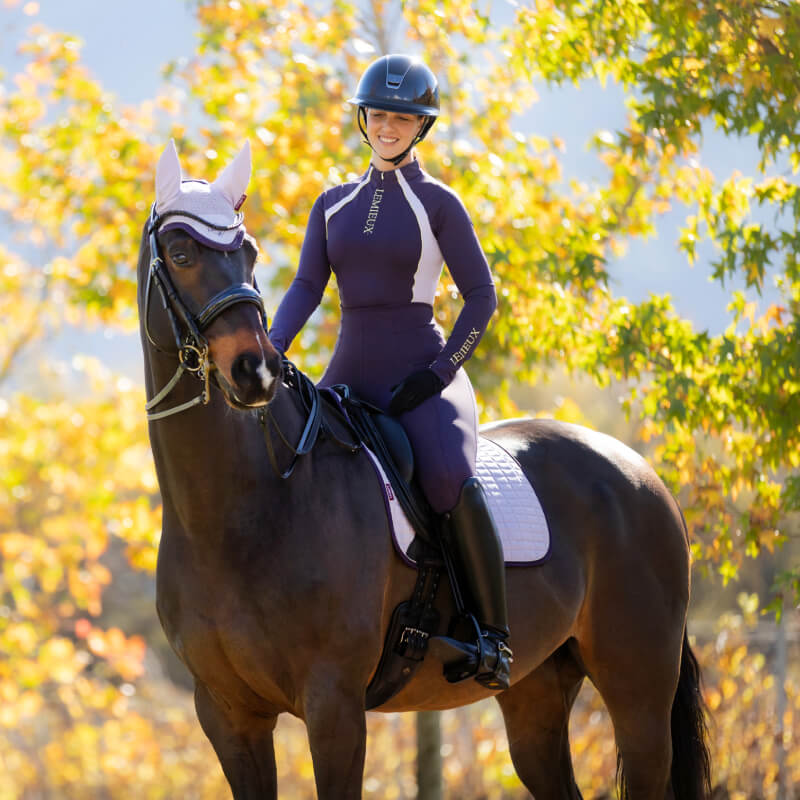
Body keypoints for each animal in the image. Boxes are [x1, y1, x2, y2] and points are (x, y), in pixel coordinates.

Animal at [137, 149, 711, 799]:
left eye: (249, 253)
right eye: (181, 253)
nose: (254, 370)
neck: (239, 511)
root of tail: (640, 472)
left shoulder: (334, 706)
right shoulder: (228, 715)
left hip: (638, 692)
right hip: (537, 693)